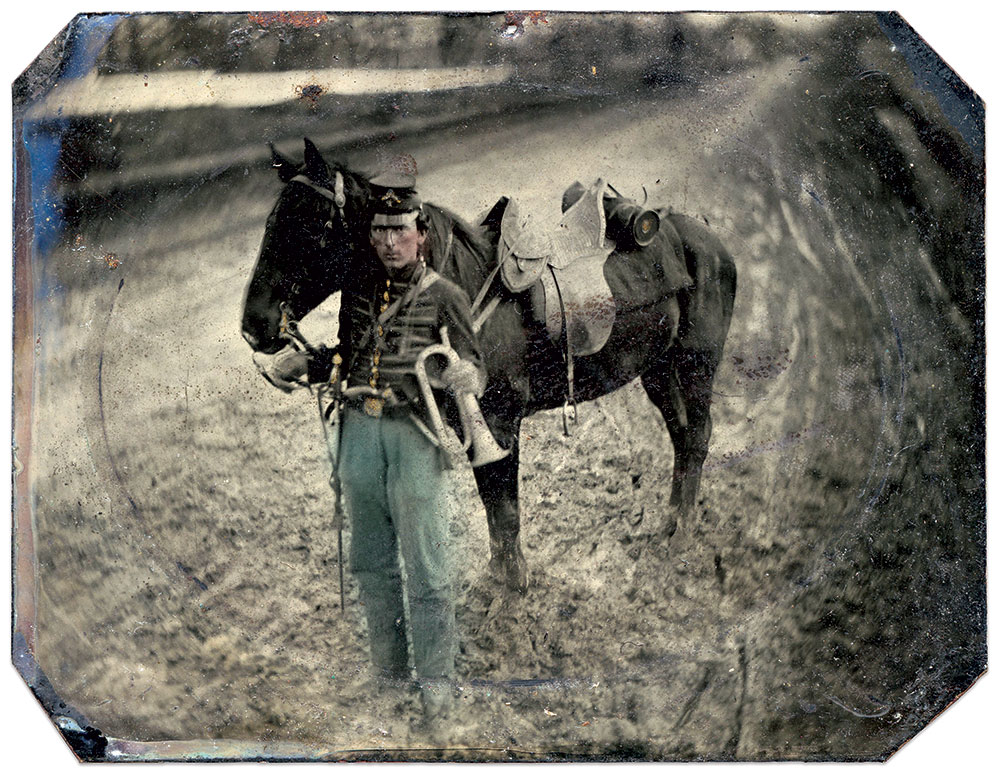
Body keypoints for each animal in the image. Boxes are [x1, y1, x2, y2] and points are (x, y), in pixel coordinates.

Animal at [242, 139, 740, 592]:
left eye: (314, 226)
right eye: (270, 222)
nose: (254, 325)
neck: (457, 283)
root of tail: (708, 238)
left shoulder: (499, 420)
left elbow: (504, 505)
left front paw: (512, 586)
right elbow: (490, 499)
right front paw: (499, 575)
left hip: (696, 364)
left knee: (697, 435)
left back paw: (681, 532)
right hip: (657, 369)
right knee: (680, 434)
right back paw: (672, 519)